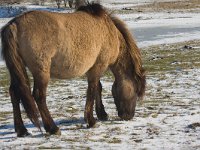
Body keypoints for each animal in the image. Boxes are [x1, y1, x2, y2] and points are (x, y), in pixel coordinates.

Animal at [0, 3, 146, 137]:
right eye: (136, 90)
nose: (128, 116)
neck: (109, 31)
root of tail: (14, 24)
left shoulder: (93, 69)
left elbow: (97, 88)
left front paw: (102, 114)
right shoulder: (98, 67)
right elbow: (92, 91)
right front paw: (91, 120)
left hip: (18, 69)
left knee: (14, 93)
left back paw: (21, 130)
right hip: (41, 72)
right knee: (39, 96)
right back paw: (52, 128)